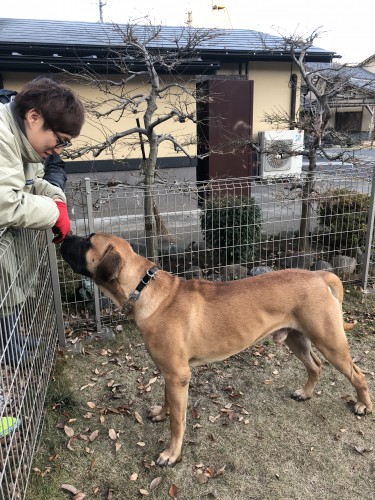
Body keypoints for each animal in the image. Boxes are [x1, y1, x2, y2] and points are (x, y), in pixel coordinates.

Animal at [61, 232, 374, 466]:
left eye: (87, 242)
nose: (62, 237)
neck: (144, 288)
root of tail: (321, 276)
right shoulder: (169, 372)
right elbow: (167, 401)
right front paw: (161, 413)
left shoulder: (178, 375)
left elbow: (178, 422)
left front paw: (171, 454)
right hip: (296, 339)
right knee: (315, 366)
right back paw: (306, 393)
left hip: (330, 342)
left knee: (357, 374)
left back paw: (362, 405)